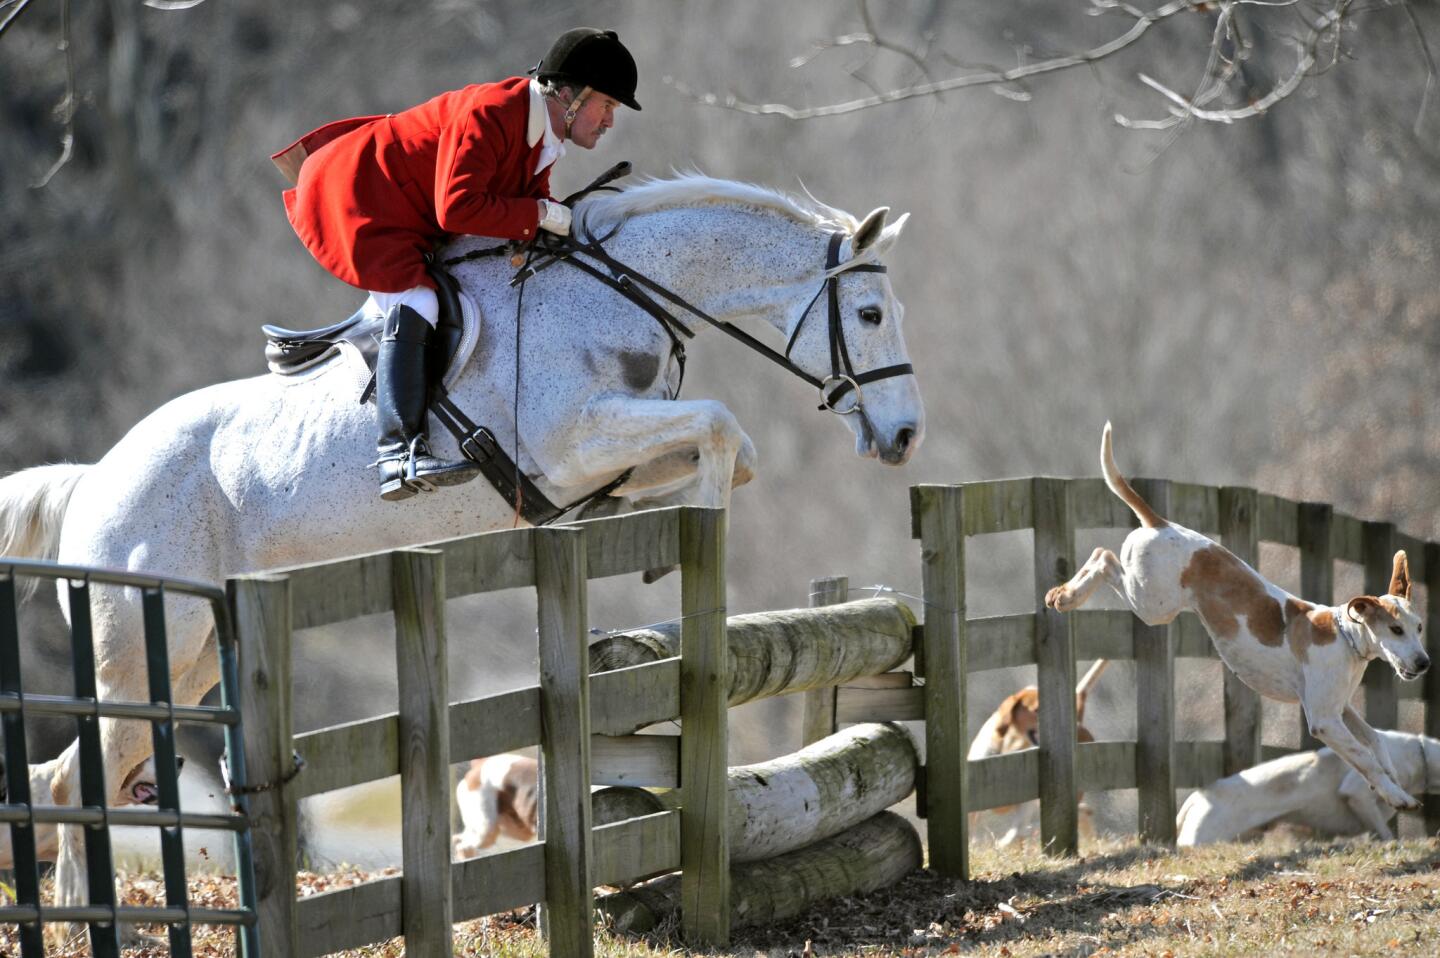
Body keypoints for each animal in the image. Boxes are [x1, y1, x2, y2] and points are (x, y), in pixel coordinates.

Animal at [0, 172, 921, 910]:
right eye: (870, 312)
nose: (906, 436)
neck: (618, 297)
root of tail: (94, 477)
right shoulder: (574, 440)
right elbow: (725, 429)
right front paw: (690, 527)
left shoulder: (608, 445)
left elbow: (732, 450)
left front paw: (652, 518)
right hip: (142, 650)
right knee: (82, 775)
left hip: (184, 664)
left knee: (74, 774)